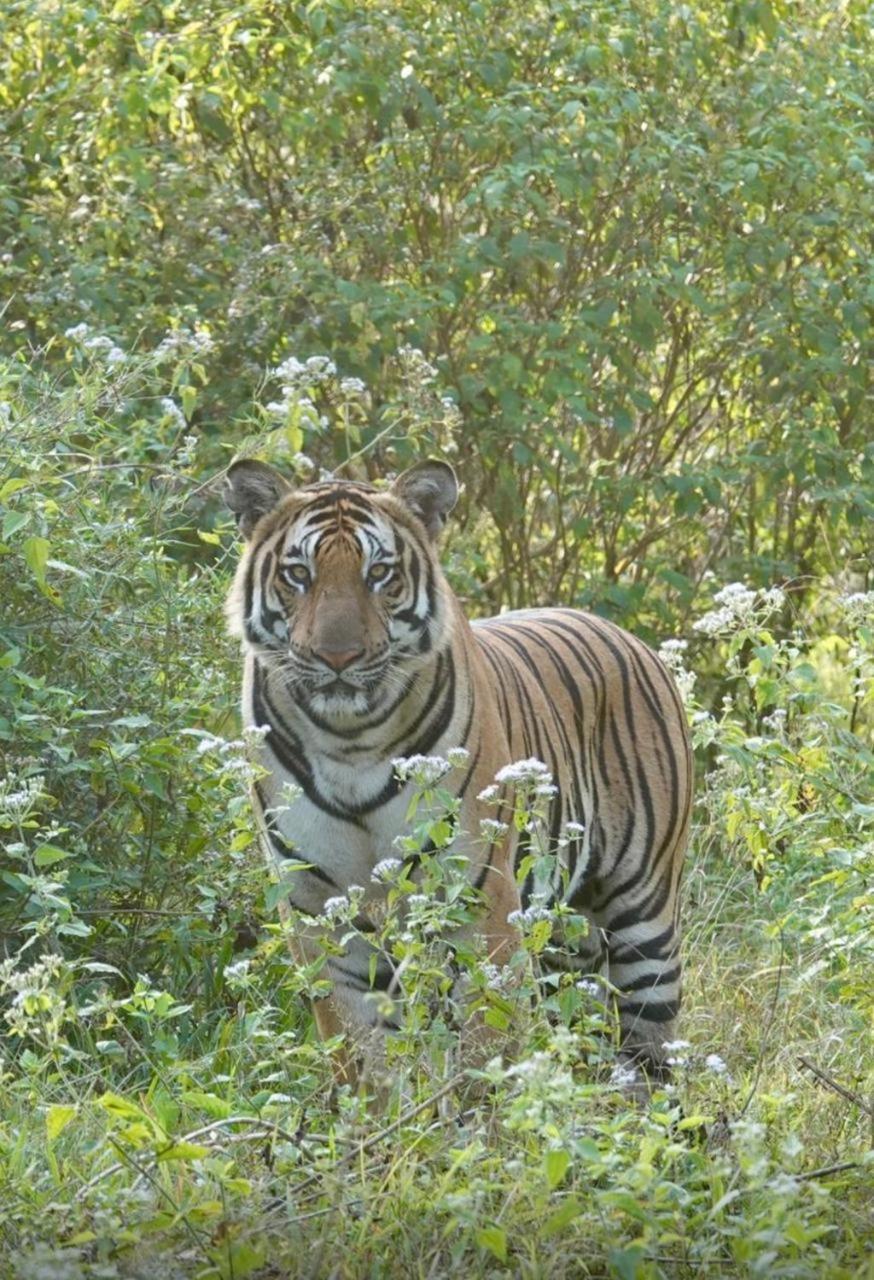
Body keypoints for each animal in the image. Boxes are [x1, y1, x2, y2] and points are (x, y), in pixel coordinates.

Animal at [225, 458, 696, 1080]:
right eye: (298, 573)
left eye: (380, 573)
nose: (337, 657)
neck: (347, 741)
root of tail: (627, 635)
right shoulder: (319, 913)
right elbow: (361, 1062)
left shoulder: (478, 902)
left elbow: (484, 1049)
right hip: (561, 938)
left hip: (644, 922)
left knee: (650, 1064)